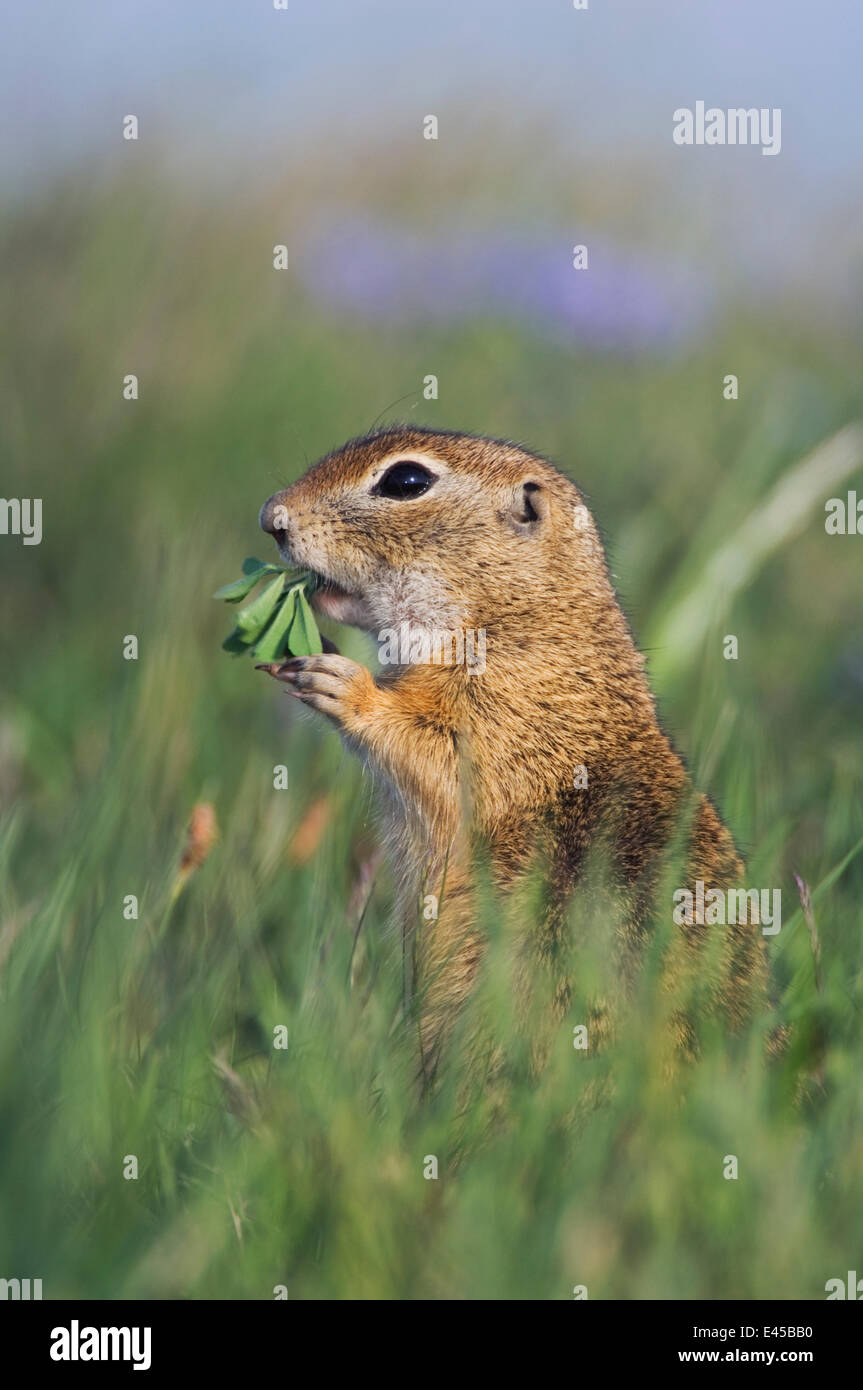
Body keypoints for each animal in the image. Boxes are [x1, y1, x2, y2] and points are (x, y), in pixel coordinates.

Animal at [255, 422, 767, 1073]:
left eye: (406, 481)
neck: (516, 615)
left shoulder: (503, 716)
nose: (272, 517)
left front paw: (341, 682)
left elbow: (431, 751)